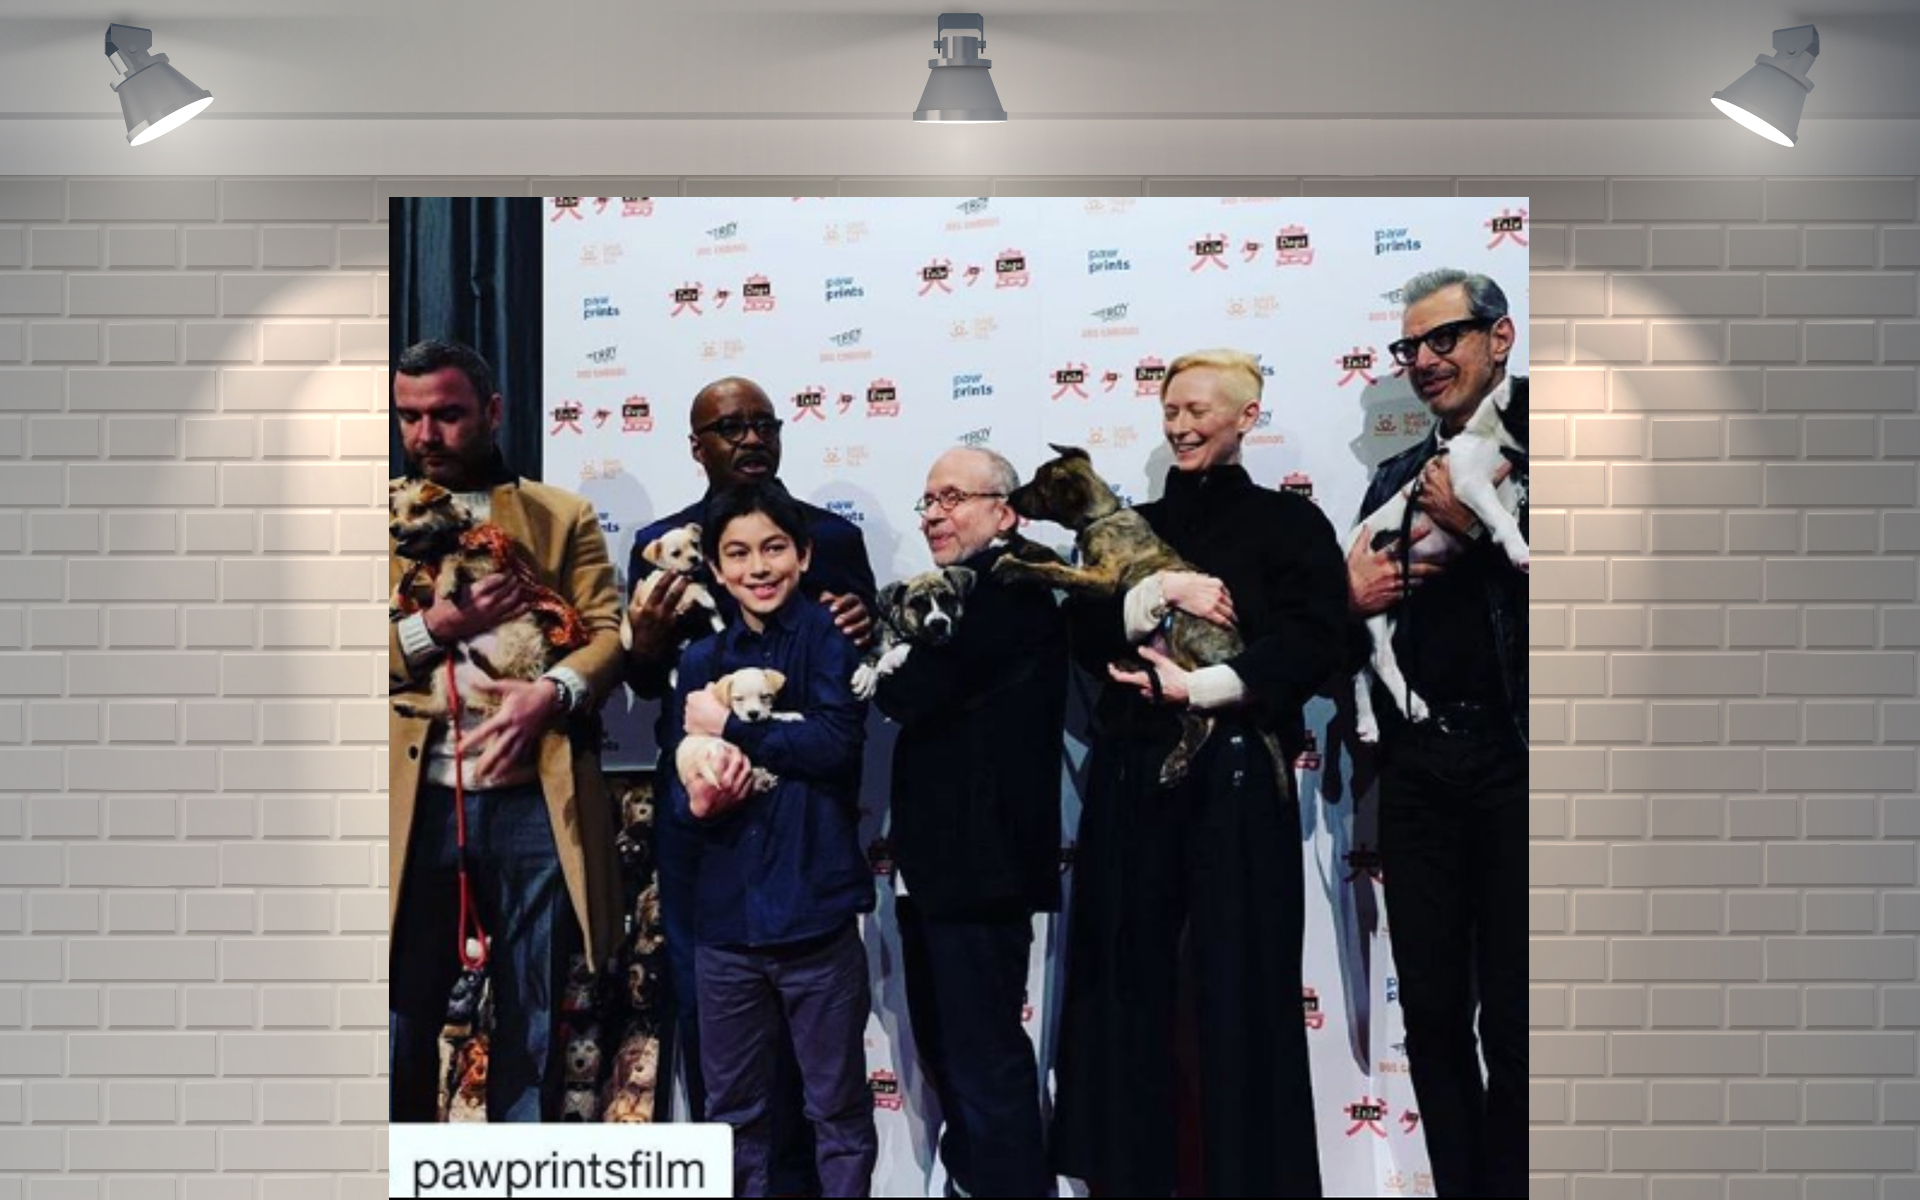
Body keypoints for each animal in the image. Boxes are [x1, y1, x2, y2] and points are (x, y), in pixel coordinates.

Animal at [388, 478, 573, 723]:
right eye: (396, 512)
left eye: (418, 509)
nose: (392, 528)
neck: (441, 543)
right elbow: (406, 582)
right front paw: (395, 601)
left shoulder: (485, 565)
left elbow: (452, 558)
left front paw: (446, 582)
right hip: (444, 671)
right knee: (444, 707)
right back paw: (412, 706)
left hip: (515, 645)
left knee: (503, 687)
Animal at [674, 667, 802, 818]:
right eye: (739, 698)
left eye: (764, 696)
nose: (753, 714)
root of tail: (699, 759)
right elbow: (771, 715)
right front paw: (789, 715)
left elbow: (770, 714)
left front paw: (789, 715)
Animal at [851, 566, 975, 700]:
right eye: (916, 604)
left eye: (947, 598)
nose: (938, 623)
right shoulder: (879, 643)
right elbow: (872, 654)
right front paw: (865, 675)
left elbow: (911, 642)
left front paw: (889, 659)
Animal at [992, 444, 1283, 788]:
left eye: (1039, 485)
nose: (1009, 498)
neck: (1102, 516)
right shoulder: (1087, 571)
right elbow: (1052, 558)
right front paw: (1021, 543)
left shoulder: (1102, 579)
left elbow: (1053, 570)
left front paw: (1014, 566)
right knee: (1189, 711)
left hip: (1184, 630)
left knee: (1205, 708)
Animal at [1351, 382, 1527, 743]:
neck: (1492, 441)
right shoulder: (1473, 484)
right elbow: (1503, 520)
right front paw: (1520, 552)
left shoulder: (1513, 499)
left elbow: (1510, 518)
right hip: (1374, 610)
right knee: (1380, 659)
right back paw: (1414, 706)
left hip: (1390, 609)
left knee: (1363, 670)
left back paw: (1368, 723)